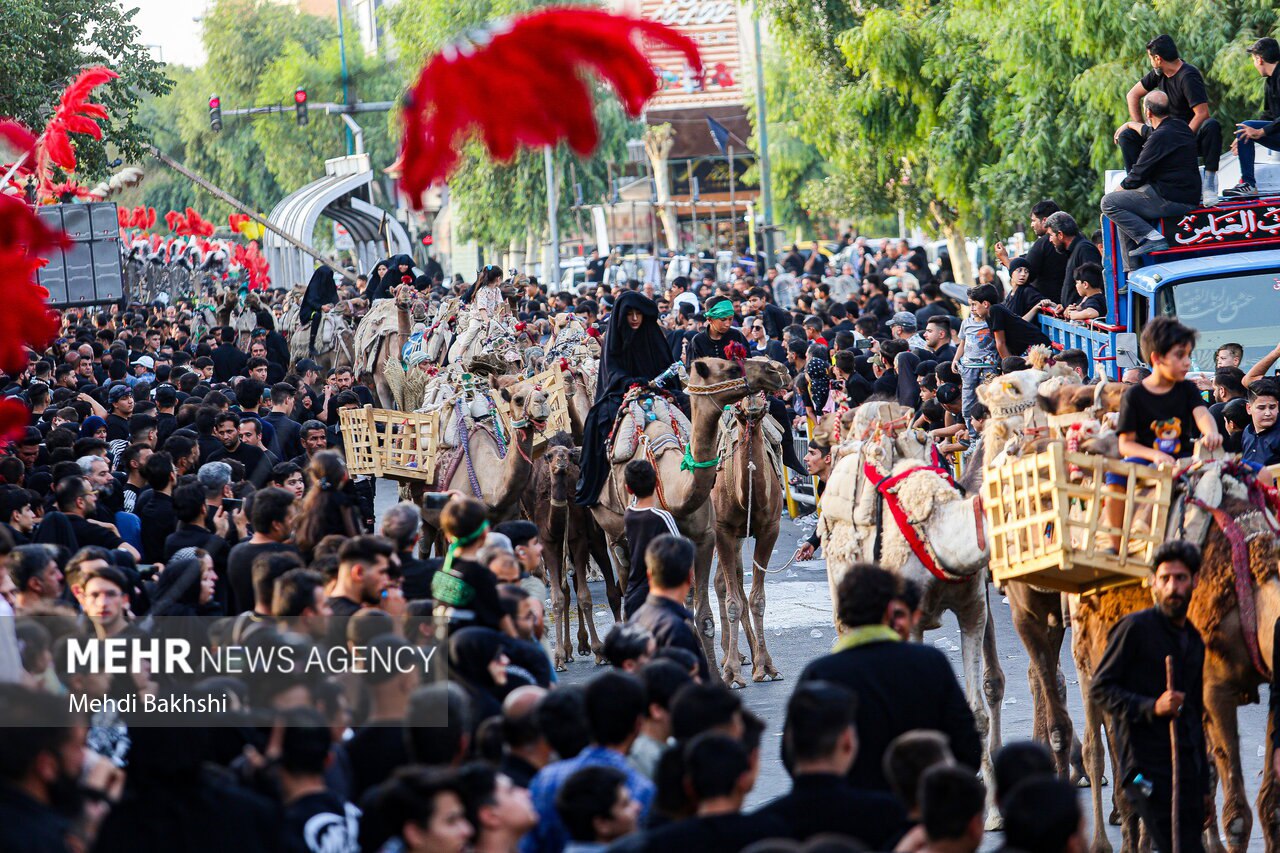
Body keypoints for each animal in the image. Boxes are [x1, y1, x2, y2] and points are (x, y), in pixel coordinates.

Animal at [522, 435, 616, 666]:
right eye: (549, 455)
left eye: (567, 453)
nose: (562, 461)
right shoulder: (547, 545)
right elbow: (557, 599)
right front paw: (558, 657)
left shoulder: (578, 540)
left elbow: (584, 597)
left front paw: (598, 650)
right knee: (566, 590)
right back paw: (570, 649)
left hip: (595, 540)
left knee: (607, 587)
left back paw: (584, 645)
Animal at [591, 353, 788, 676]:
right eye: (730, 367)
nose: (777, 370)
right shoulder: (719, 530)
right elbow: (723, 600)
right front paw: (731, 671)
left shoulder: (731, 533)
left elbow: (721, 607)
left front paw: (762, 666)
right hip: (614, 536)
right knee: (623, 588)